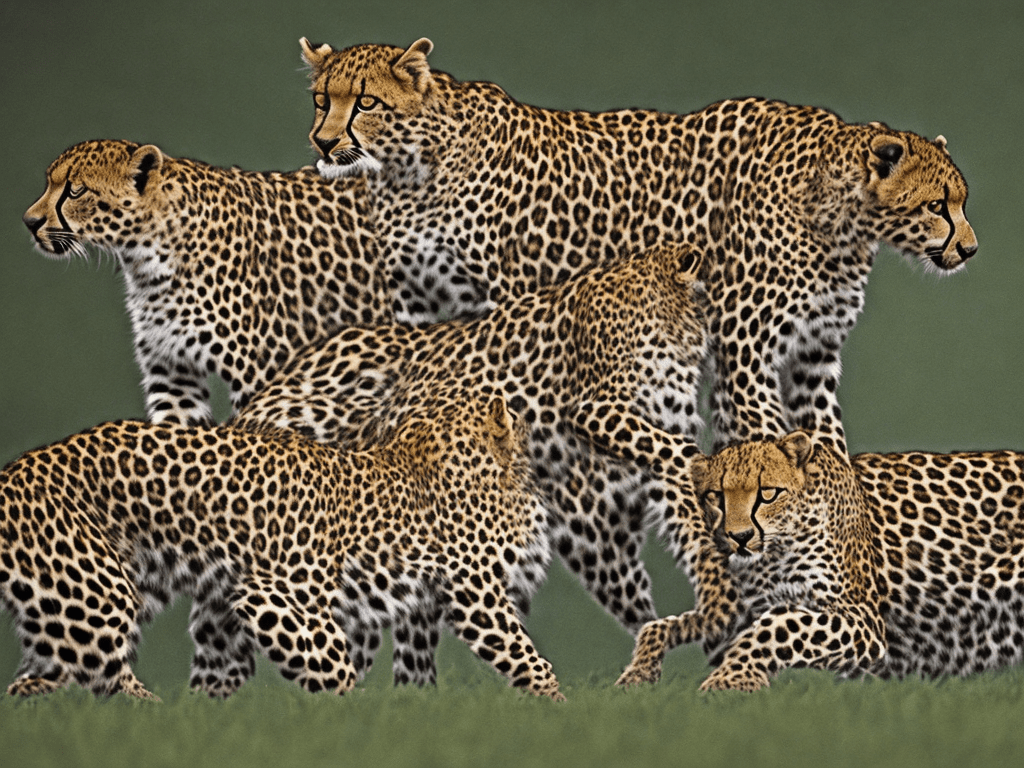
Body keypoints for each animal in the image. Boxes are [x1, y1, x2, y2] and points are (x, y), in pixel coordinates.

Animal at [0, 393, 564, 700]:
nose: (526, 414)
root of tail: (13, 473)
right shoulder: (474, 595)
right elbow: (527, 659)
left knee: (38, 684)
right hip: (99, 594)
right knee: (104, 684)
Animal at [23, 139, 391, 427]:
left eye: (75, 190)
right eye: (50, 184)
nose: (29, 221)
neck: (146, 262)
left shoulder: (263, 377)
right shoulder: (172, 378)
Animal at [299, 36, 978, 454]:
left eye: (365, 102)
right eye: (322, 100)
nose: (971, 249)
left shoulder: (811, 352)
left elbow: (817, 440)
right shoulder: (746, 345)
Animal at [572, 401, 1024, 690]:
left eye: (767, 494)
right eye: (716, 497)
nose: (739, 537)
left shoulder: (860, 618)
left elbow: (780, 624)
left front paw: (733, 678)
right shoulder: (728, 614)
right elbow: (663, 625)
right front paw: (638, 674)